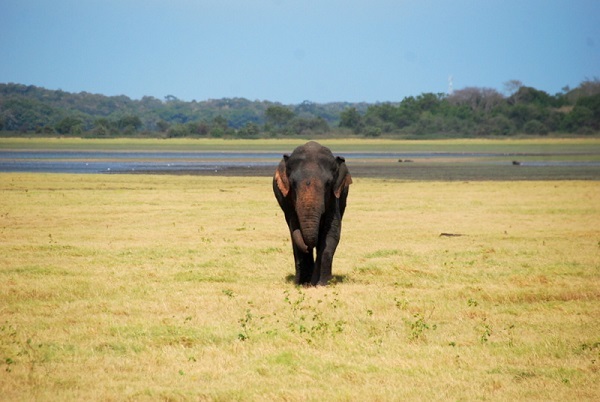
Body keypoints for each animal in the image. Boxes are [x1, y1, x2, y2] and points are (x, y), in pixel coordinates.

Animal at [274, 141, 352, 286]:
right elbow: (294, 232)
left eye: (328, 184)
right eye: (293, 183)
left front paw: (321, 284)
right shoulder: (288, 200)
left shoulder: (334, 197)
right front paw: (303, 284)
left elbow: (332, 232)